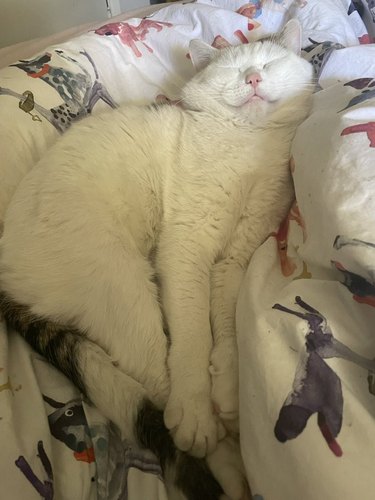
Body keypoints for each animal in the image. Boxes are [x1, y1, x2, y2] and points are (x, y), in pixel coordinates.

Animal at [0, 20, 314, 500]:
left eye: (270, 62)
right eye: (232, 70)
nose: (253, 79)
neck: (248, 146)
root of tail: (4, 269)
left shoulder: (236, 258)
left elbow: (225, 323)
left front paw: (228, 382)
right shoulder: (186, 249)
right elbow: (193, 336)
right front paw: (201, 407)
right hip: (127, 294)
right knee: (160, 384)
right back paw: (221, 453)